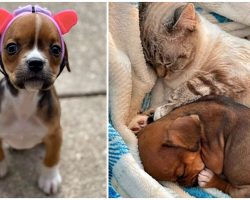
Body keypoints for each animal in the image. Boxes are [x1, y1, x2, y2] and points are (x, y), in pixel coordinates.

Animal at [0, 5, 77, 194]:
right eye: (11, 47)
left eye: (56, 49)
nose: (35, 62)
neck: (25, 99)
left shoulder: (55, 133)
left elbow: (52, 157)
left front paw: (49, 179)